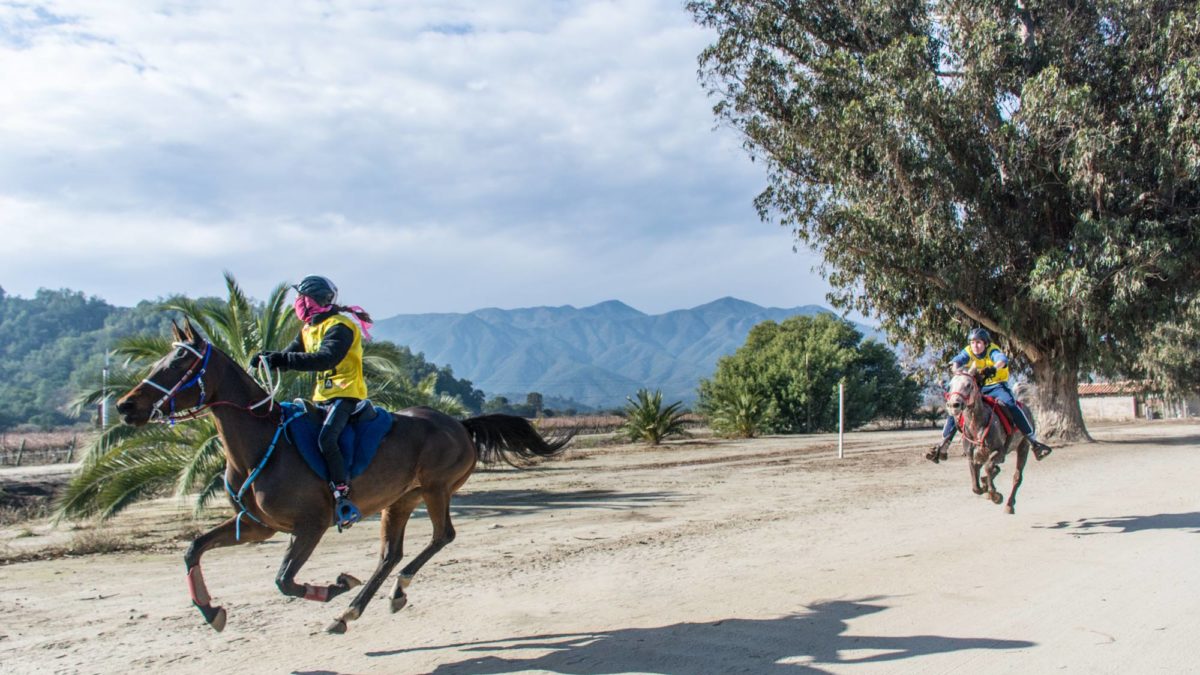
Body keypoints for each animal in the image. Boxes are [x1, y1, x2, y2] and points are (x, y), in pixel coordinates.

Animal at [115, 317, 566, 634]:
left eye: (181, 362)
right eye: (161, 359)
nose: (125, 406)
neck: (263, 443)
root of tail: (459, 423)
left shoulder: (310, 525)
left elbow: (284, 580)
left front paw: (335, 586)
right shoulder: (258, 525)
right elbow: (194, 548)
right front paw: (211, 610)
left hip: (436, 490)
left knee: (441, 537)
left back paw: (381, 594)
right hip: (399, 500)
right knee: (390, 554)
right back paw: (357, 610)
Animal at [945, 365, 1032, 511]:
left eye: (969, 385)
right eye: (950, 385)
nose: (953, 405)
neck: (977, 426)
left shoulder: (999, 452)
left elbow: (988, 467)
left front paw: (995, 495)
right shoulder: (972, 457)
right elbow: (975, 486)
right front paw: (986, 488)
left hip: (1023, 447)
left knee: (1017, 476)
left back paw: (1009, 505)